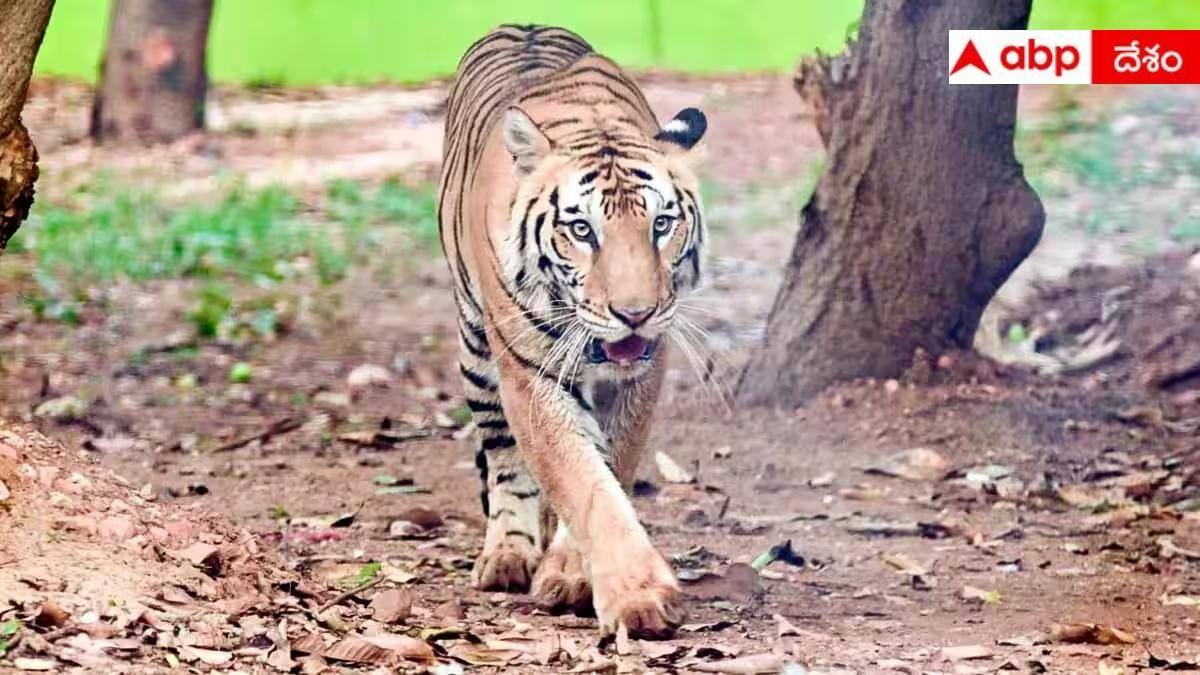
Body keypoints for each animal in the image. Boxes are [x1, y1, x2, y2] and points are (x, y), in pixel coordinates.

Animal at [437, 24, 708, 637]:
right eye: (582, 230)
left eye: (662, 224)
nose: (635, 313)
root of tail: (525, 24)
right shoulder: (530, 375)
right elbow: (580, 479)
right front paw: (638, 597)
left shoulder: (642, 374)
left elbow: (611, 465)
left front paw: (572, 572)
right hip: (476, 355)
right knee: (503, 457)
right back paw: (507, 554)